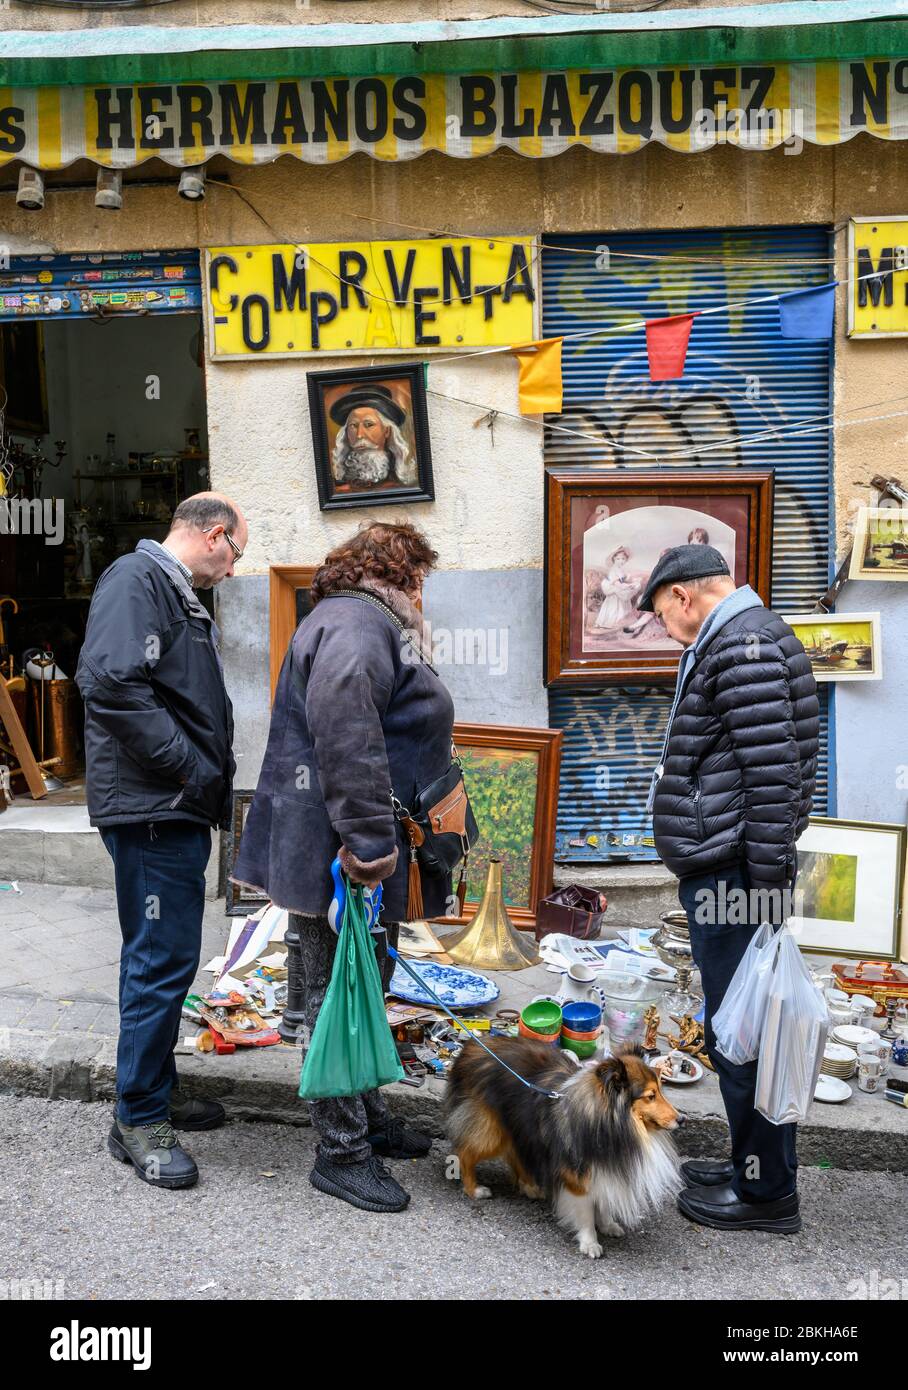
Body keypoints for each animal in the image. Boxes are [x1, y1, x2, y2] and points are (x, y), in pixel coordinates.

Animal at [444, 1039, 678, 1256]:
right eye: (650, 1096)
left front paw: (608, 1224)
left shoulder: (606, 1167)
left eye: (661, 1090)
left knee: (515, 1154)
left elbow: (603, 1201)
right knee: (465, 1152)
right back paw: (474, 1189)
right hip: (492, 1132)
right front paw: (590, 1243)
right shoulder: (578, 1175)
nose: (681, 1119)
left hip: (517, 1126)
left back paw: (529, 1187)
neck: (604, 1121)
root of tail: (471, 1047)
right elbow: (585, 1213)